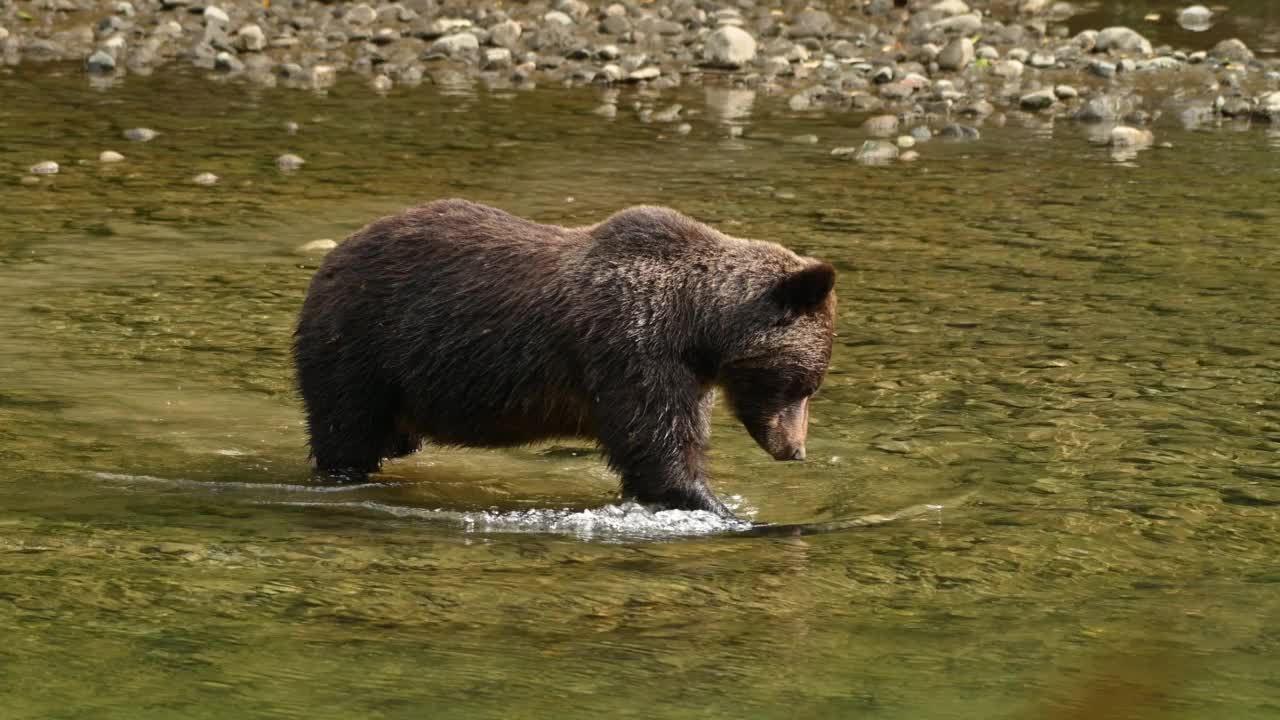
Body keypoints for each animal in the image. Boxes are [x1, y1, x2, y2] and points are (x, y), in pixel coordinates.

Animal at [298, 198, 839, 517]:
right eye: (803, 385)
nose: (795, 449)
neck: (697, 326)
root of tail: (333, 256)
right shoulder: (633, 352)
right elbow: (657, 445)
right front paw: (718, 506)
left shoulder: (682, 371)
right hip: (362, 345)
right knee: (346, 430)